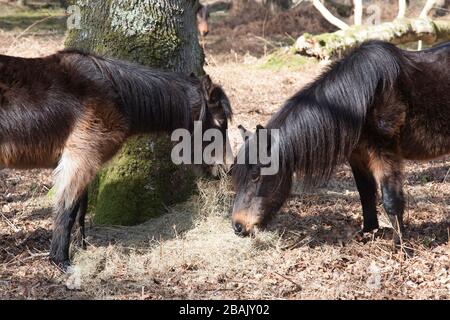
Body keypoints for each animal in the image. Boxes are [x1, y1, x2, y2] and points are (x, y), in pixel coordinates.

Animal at [0, 50, 232, 270]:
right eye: (220, 122)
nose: (224, 169)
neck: (117, 95)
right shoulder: (80, 159)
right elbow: (67, 210)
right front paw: (61, 261)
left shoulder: (84, 162)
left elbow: (80, 210)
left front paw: (82, 248)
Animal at [232, 40, 450, 245]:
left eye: (255, 175)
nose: (238, 226)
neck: (360, 98)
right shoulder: (357, 156)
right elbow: (365, 193)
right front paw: (368, 232)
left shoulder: (386, 152)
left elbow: (391, 199)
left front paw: (401, 246)